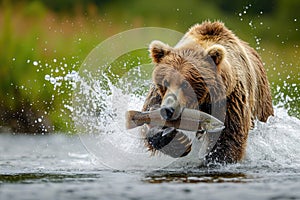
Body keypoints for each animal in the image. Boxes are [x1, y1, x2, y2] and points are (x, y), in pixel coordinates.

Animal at [142, 20, 274, 164]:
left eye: (185, 84)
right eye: (165, 82)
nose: (168, 109)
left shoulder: (229, 101)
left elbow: (229, 139)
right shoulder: (158, 96)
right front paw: (178, 140)